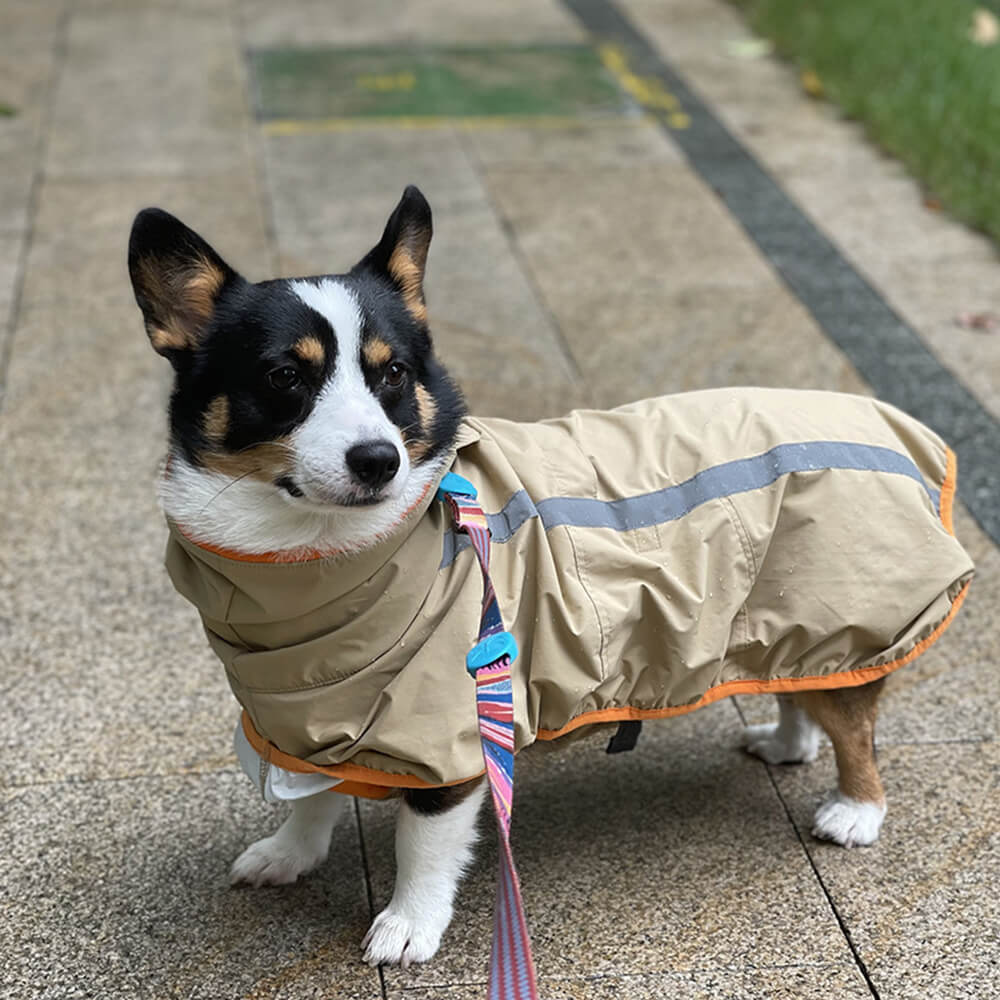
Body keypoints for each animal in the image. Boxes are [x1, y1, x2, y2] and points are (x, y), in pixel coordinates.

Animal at [127, 188, 976, 968]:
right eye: (282, 376)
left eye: (393, 373)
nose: (378, 461)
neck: (302, 559)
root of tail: (889, 418)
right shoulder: (316, 717)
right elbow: (313, 799)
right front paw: (289, 853)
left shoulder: (452, 736)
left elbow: (423, 846)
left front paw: (407, 927)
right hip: (784, 617)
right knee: (803, 682)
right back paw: (787, 743)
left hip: (849, 609)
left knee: (854, 725)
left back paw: (855, 811)